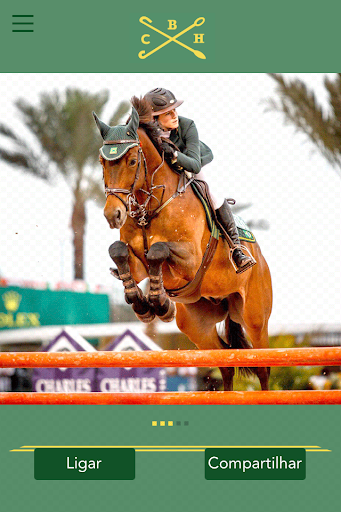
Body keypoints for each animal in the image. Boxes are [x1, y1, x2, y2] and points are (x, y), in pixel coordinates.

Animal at [93, 98, 270, 390]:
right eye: (102, 163)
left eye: (132, 161)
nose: (112, 215)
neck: (150, 207)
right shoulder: (136, 264)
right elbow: (119, 252)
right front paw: (143, 304)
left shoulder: (190, 261)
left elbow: (159, 251)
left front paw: (160, 304)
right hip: (196, 324)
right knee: (225, 361)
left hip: (255, 319)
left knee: (263, 366)